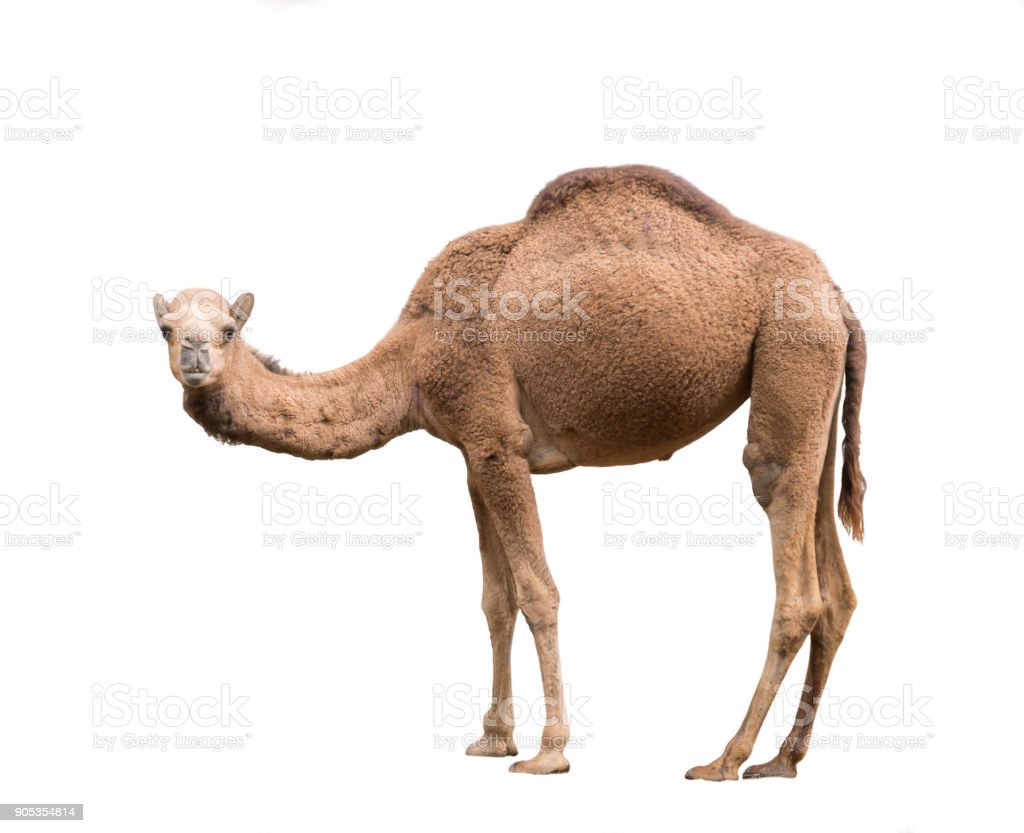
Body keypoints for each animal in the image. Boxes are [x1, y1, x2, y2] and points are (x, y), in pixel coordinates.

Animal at [153, 165, 865, 780]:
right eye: (164, 327)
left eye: (226, 328)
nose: (194, 356)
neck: (416, 355)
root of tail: (837, 298)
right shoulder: (475, 454)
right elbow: (495, 599)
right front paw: (493, 737)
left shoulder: (496, 437)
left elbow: (538, 593)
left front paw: (550, 751)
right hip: (816, 399)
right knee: (836, 588)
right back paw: (782, 760)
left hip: (790, 357)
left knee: (791, 563)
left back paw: (724, 759)